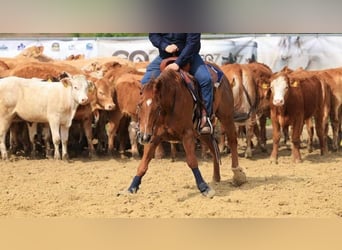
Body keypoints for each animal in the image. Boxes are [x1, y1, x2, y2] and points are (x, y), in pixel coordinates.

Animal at [119, 64, 247, 197]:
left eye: (157, 107)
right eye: (139, 105)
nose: (143, 137)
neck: (170, 105)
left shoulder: (187, 134)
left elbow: (192, 161)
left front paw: (204, 187)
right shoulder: (153, 137)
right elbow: (143, 164)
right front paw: (131, 188)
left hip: (226, 116)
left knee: (232, 141)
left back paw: (238, 175)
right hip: (202, 132)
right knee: (213, 147)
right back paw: (216, 177)